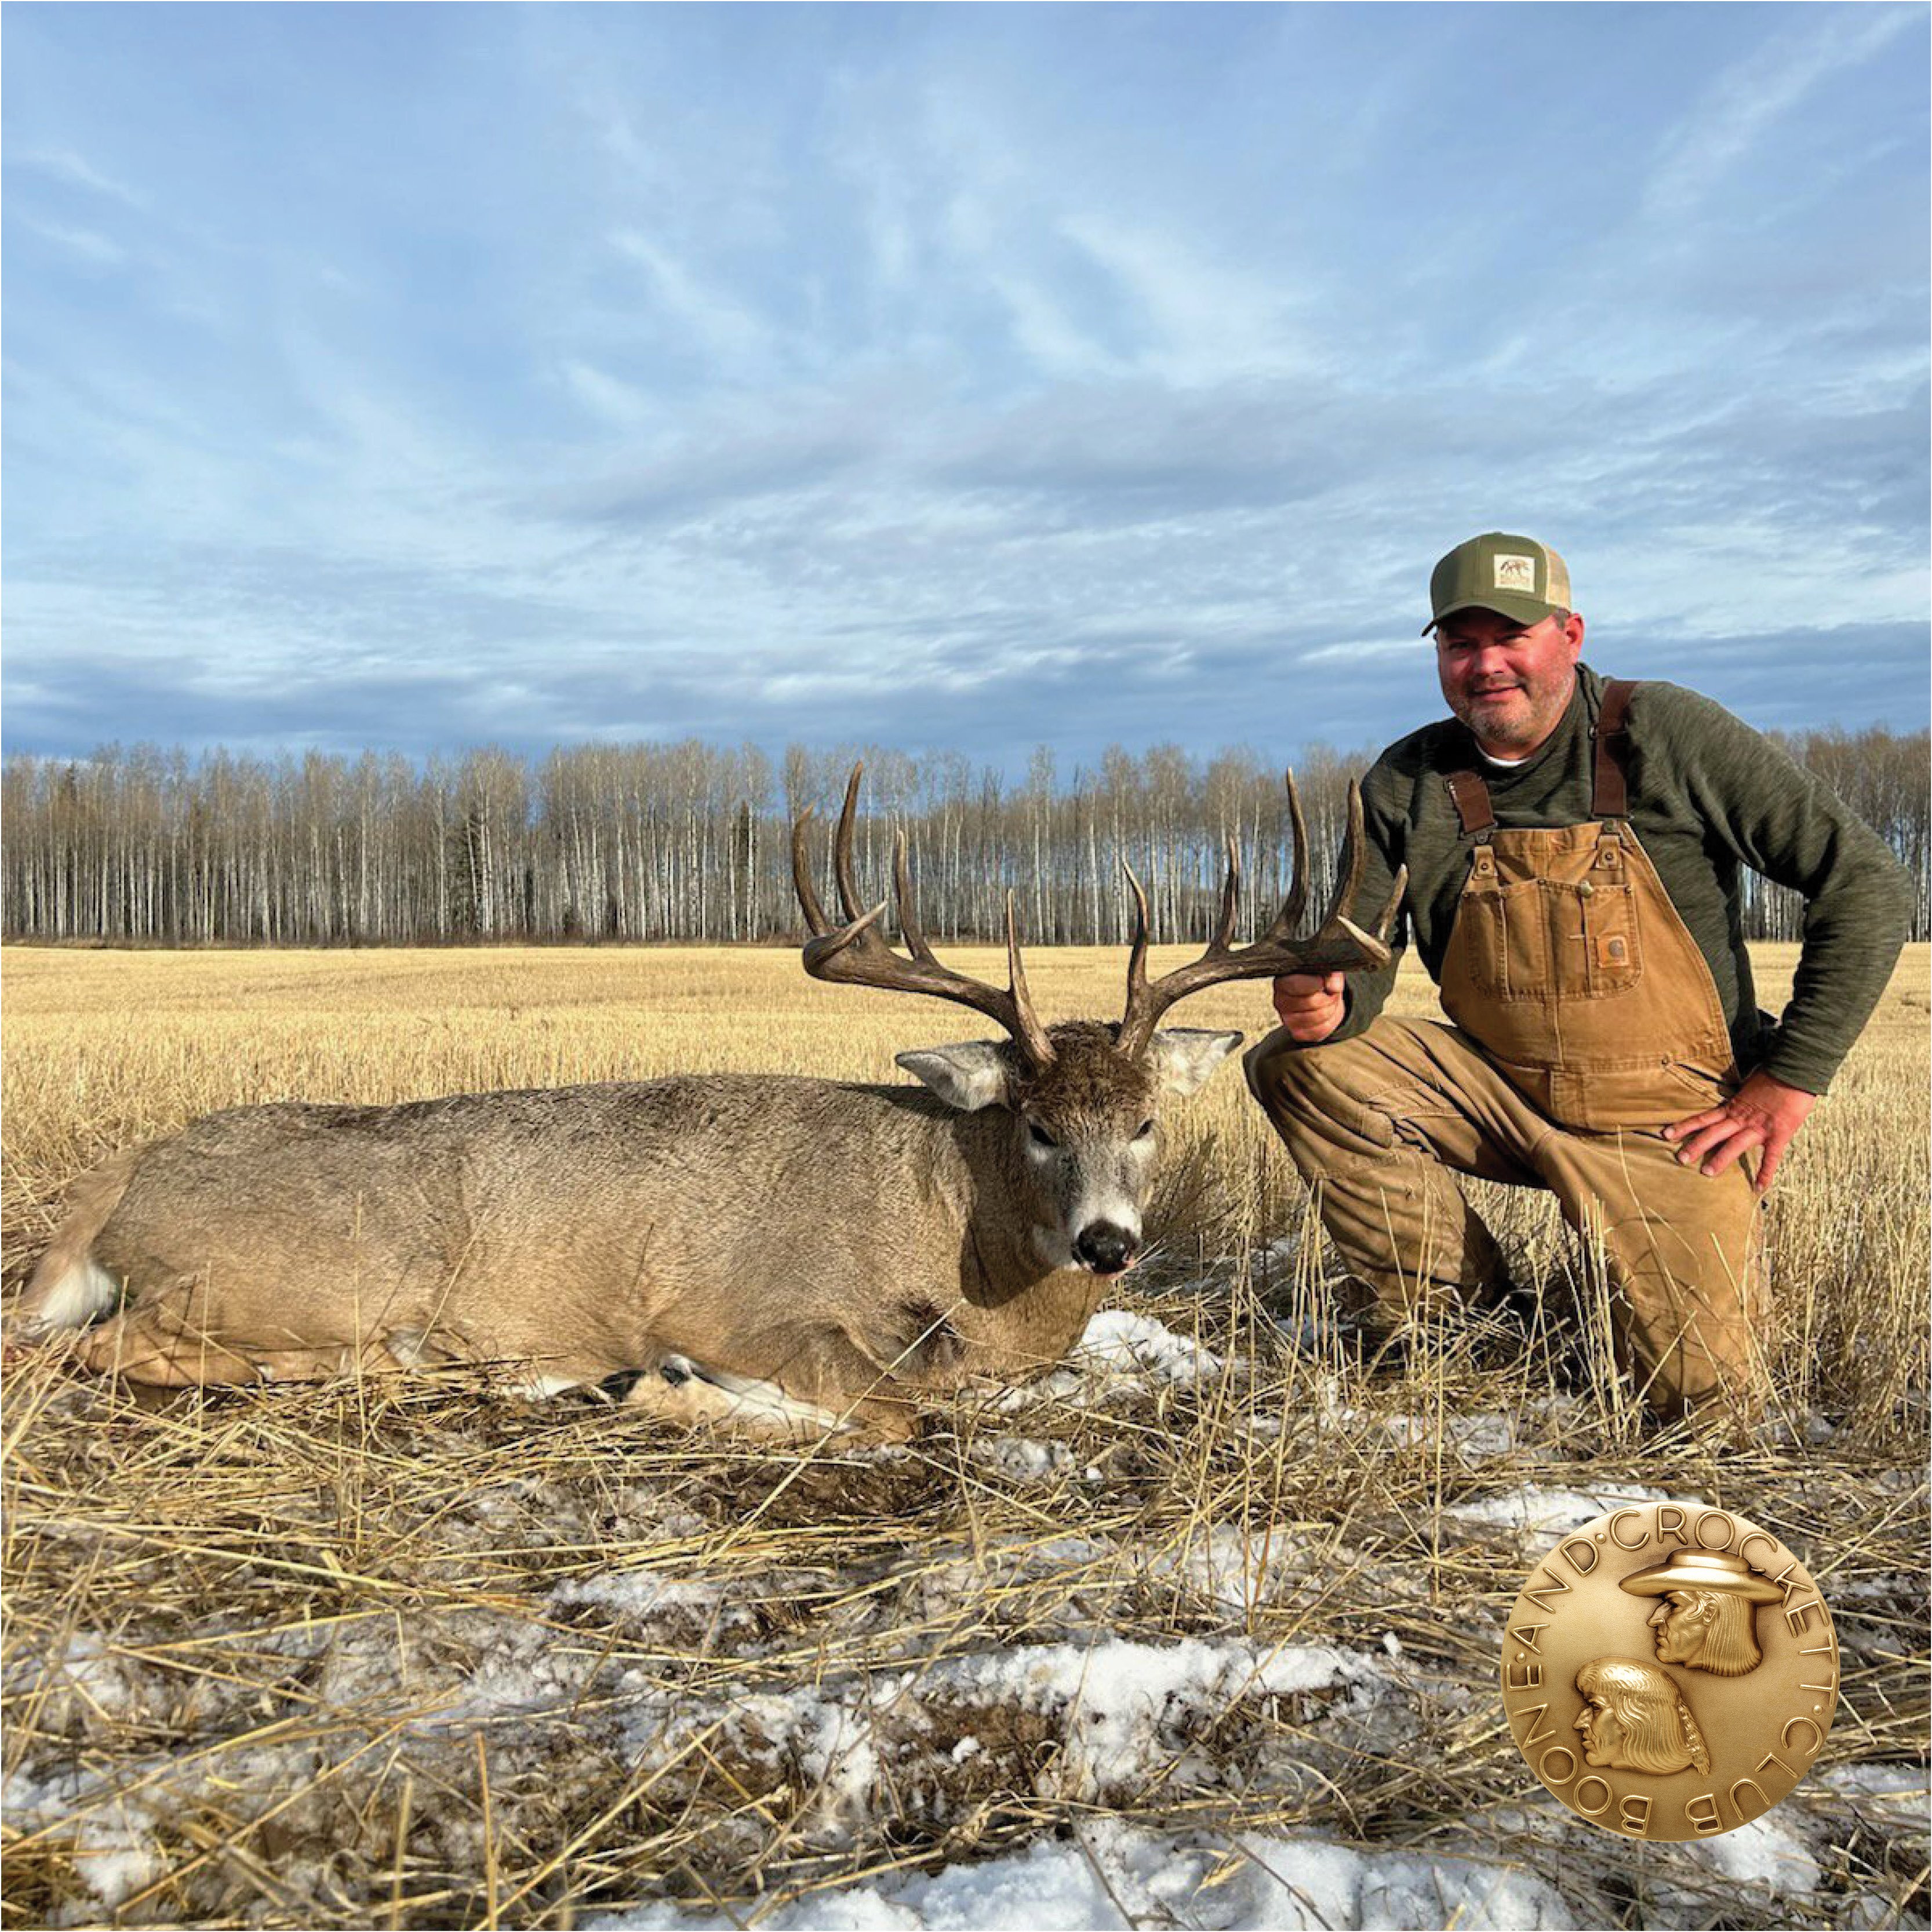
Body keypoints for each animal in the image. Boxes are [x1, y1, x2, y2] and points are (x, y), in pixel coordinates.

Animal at [14, 768, 1402, 1441]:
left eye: (1147, 1120)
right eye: (1037, 1123)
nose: (1108, 1241)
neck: (950, 1230)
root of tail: (119, 1181)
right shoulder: (741, 1299)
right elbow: (890, 1405)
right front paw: (665, 1391)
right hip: (323, 1273)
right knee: (109, 1346)